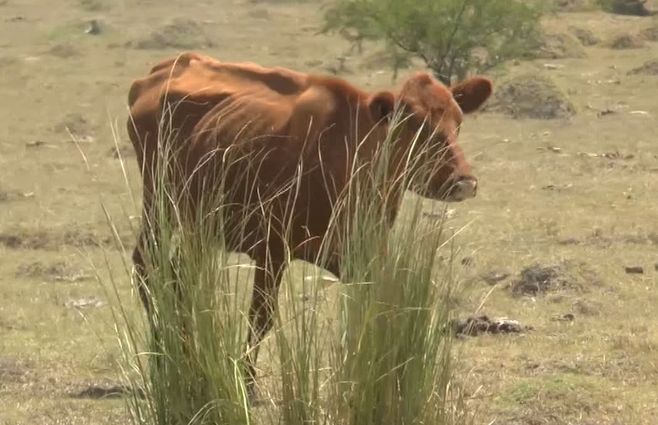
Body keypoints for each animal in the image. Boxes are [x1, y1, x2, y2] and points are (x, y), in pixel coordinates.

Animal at [126, 52, 492, 390]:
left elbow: (379, 307)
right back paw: (163, 353)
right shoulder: (271, 250)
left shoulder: (367, 251)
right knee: (149, 265)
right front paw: (246, 384)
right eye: (412, 125)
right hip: (159, 205)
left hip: (198, 228)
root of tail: (173, 63)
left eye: (458, 121)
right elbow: (260, 318)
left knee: (179, 279)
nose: (464, 181)